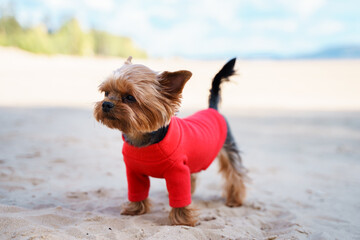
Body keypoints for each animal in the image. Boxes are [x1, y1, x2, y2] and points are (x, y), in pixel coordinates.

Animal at [93, 57, 248, 226]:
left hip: (228, 148)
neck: (143, 140)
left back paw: (234, 200)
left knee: (235, 174)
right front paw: (135, 209)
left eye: (130, 97)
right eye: (106, 93)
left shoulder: (177, 170)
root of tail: (212, 109)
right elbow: (137, 191)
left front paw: (182, 219)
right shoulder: (133, 171)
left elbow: (180, 196)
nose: (106, 104)